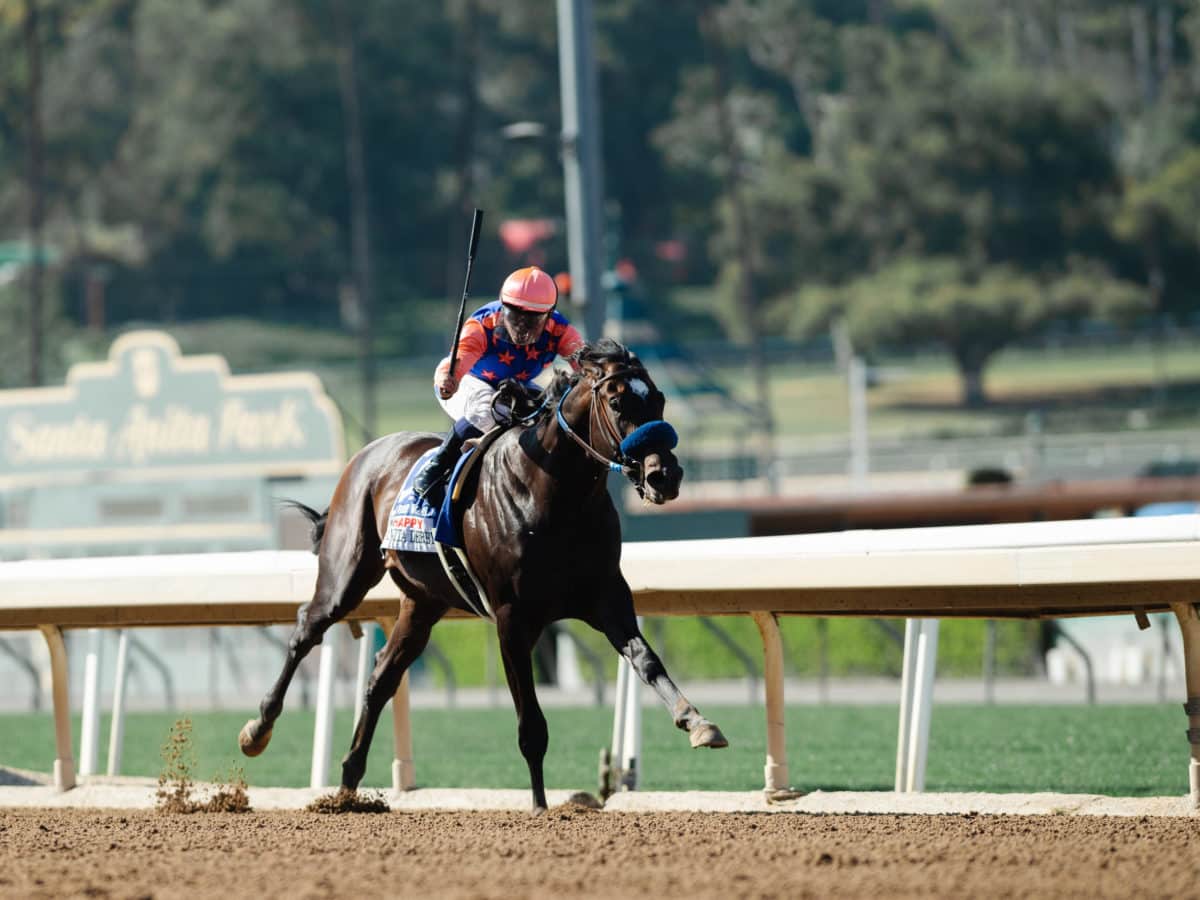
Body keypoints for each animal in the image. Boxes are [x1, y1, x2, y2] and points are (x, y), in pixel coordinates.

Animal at [234, 336, 720, 811]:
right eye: (618, 403)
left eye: (658, 399)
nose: (665, 476)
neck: (553, 494)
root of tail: (365, 456)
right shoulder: (512, 617)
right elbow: (531, 725)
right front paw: (540, 805)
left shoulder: (605, 596)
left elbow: (646, 660)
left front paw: (697, 721)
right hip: (346, 573)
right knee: (307, 629)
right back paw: (258, 729)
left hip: (423, 602)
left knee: (381, 676)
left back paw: (348, 787)